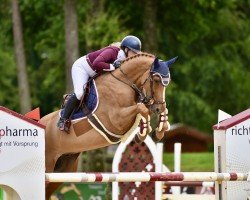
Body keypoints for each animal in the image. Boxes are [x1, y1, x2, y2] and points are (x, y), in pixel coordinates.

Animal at [40, 52, 177, 199]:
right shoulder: (116, 120)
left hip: (63, 169)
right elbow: (142, 109)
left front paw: (159, 131)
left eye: (167, 82)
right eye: (156, 80)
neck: (125, 82)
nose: (158, 108)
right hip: (48, 164)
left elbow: (148, 109)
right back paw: (62, 122)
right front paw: (142, 134)